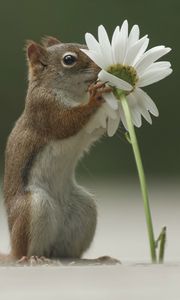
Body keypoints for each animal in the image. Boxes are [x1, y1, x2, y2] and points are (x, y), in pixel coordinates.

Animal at [1, 36, 114, 264]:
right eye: (69, 59)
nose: (102, 66)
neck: (73, 94)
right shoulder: (45, 110)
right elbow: (66, 123)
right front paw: (95, 97)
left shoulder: (89, 129)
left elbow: (97, 128)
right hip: (33, 207)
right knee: (25, 251)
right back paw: (33, 258)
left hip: (84, 209)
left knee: (67, 253)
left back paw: (95, 259)